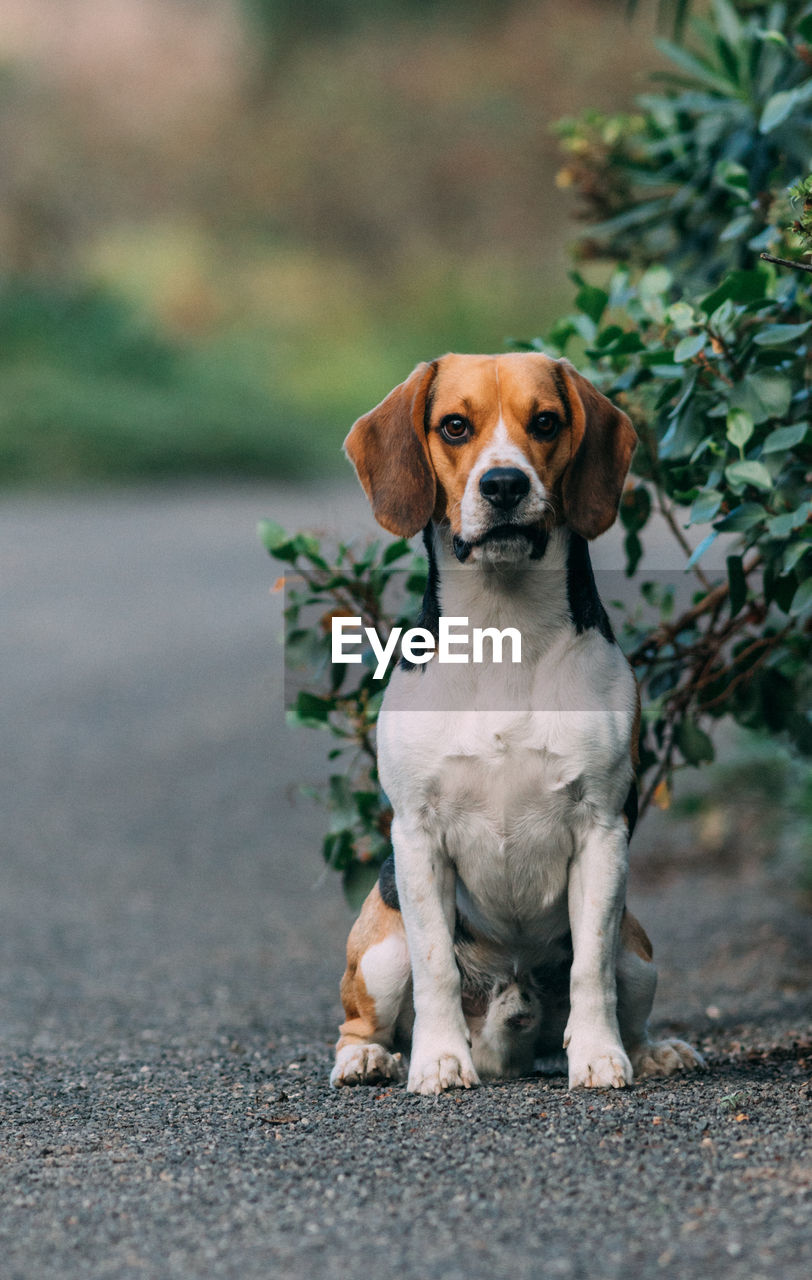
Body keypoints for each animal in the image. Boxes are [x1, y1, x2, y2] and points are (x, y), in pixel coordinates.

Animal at [330, 355, 701, 1095]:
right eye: (454, 426)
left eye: (547, 422)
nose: (504, 485)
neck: (506, 628)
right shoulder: (417, 836)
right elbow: (437, 968)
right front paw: (440, 1061)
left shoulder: (601, 830)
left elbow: (591, 967)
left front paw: (599, 1056)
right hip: (381, 948)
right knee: (364, 1017)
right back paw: (371, 1058)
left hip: (640, 951)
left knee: (623, 990)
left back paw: (651, 1051)